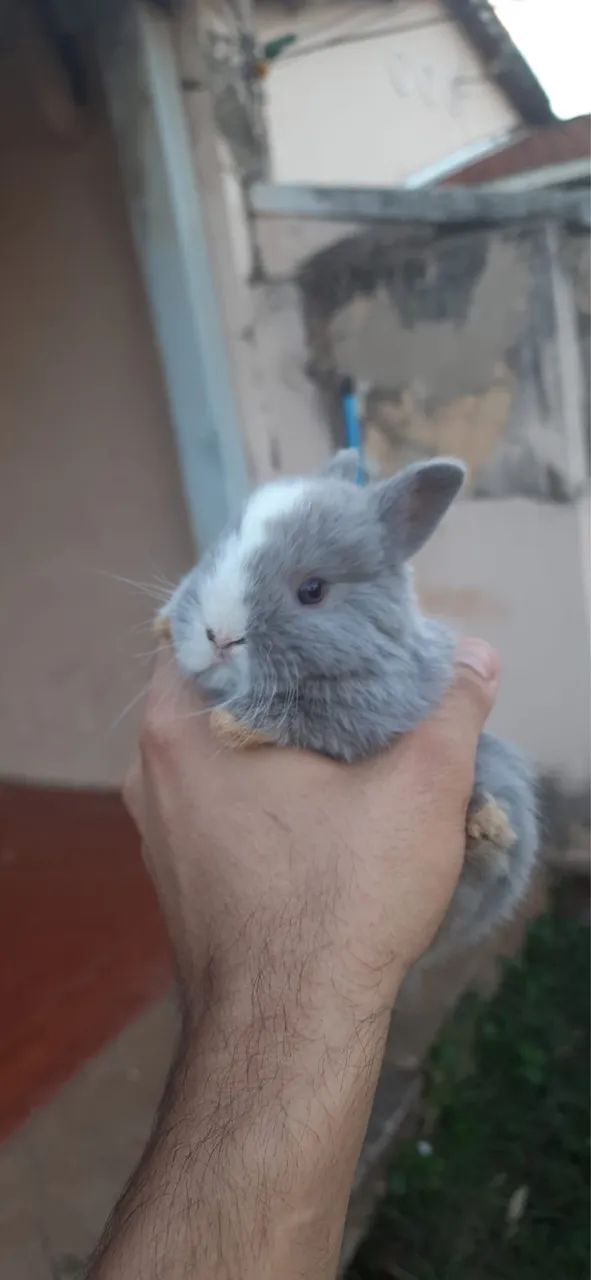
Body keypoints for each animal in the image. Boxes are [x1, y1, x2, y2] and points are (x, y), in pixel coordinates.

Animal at [160, 450, 538, 967]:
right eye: (214, 554)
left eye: (313, 591)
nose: (218, 636)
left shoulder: (377, 704)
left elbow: (315, 717)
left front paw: (232, 722)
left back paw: (486, 827)